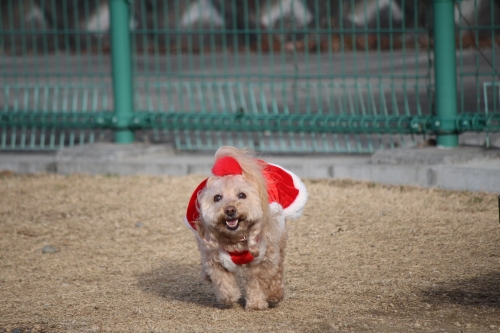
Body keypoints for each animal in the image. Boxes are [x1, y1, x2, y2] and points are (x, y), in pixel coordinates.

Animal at [186, 147, 306, 310]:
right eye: (217, 198)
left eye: (242, 195)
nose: (230, 210)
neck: (237, 236)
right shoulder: (215, 257)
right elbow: (223, 280)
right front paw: (229, 298)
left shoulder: (264, 258)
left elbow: (258, 282)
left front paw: (256, 304)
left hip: (279, 239)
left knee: (278, 268)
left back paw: (275, 294)